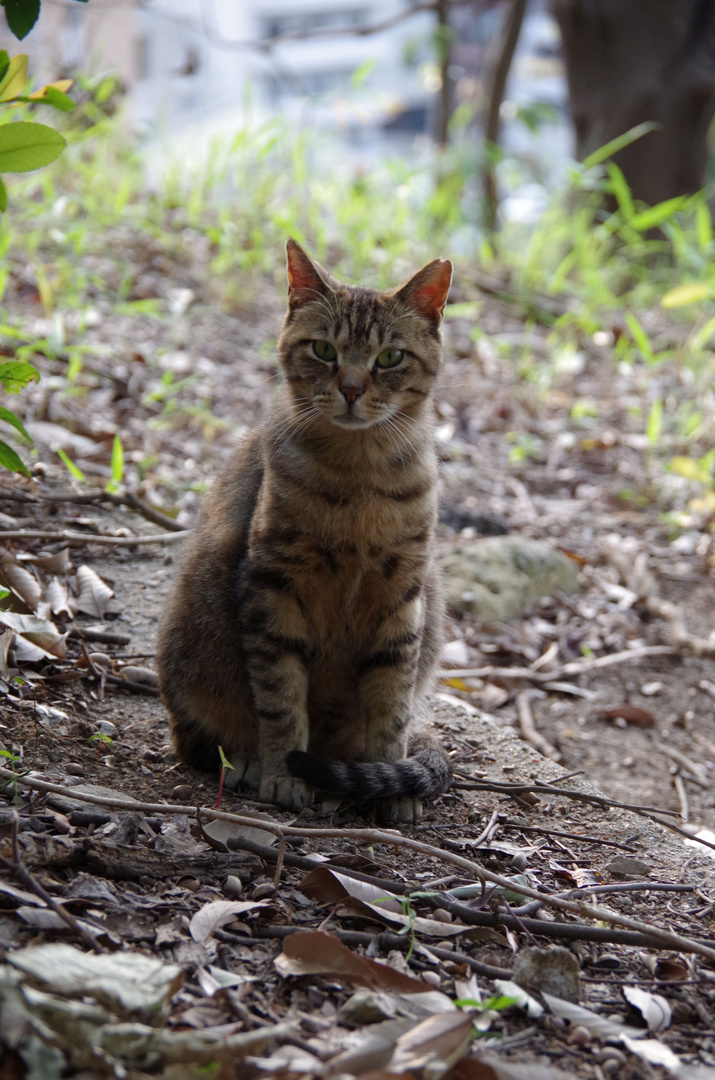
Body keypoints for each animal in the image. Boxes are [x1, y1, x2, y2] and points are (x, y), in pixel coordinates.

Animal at [156, 240, 453, 820]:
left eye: (390, 357)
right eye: (323, 350)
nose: (352, 389)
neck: (358, 478)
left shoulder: (403, 598)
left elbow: (393, 706)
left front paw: (391, 785)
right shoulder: (273, 586)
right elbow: (280, 698)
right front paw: (283, 775)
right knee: (199, 740)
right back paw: (249, 763)